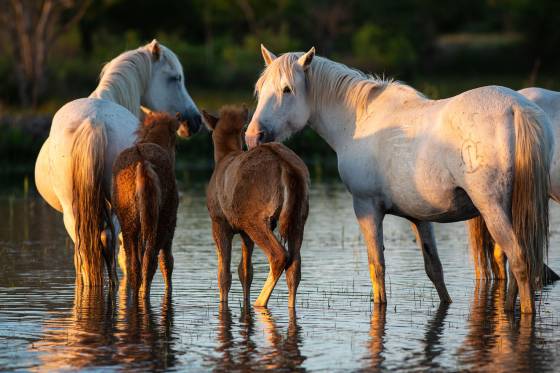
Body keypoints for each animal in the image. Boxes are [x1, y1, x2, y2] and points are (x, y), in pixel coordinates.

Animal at [112, 112, 188, 294]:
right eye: (175, 142)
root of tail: (142, 162)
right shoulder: (171, 225)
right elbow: (167, 262)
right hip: (160, 223)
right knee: (150, 261)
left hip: (130, 223)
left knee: (134, 264)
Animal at [203, 105, 308, 308]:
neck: (224, 155)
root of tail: (286, 166)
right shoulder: (244, 233)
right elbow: (245, 271)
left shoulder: (219, 222)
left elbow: (224, 274)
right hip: (298, 217)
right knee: (295, 266)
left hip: (255, 220)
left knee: (279, 256)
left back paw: (260, 302)